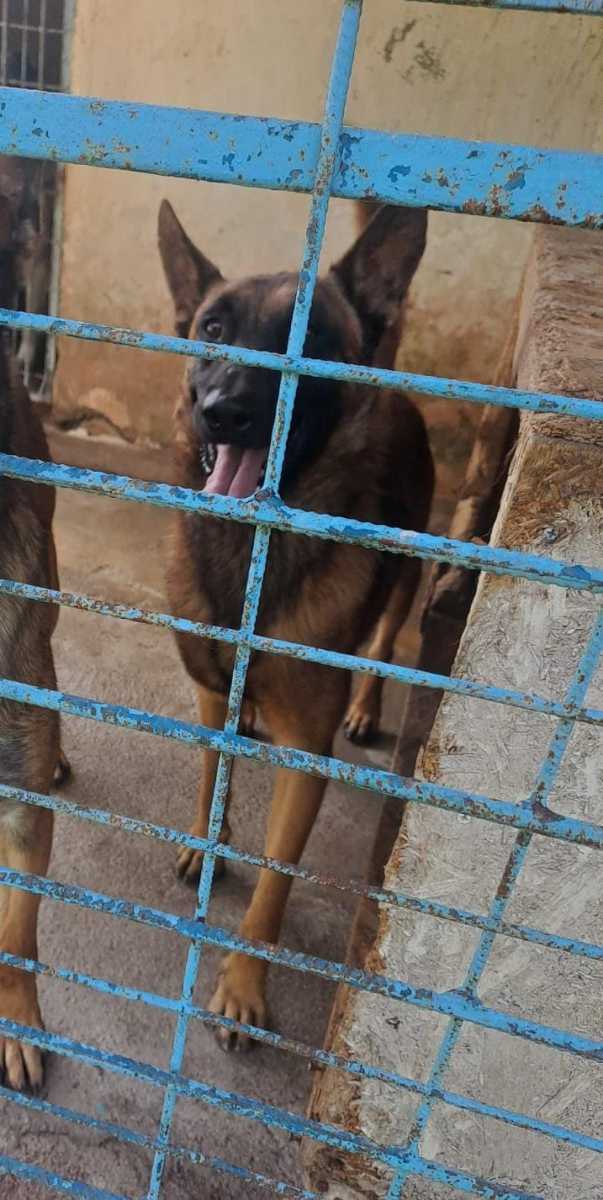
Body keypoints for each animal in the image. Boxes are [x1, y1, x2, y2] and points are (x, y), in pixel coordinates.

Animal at [158, 198, 434, 1047]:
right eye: (212, 328)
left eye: (309, 338)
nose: (225, 412)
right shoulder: (207, 692)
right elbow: (211, 771)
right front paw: (208, 842)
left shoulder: (306, 754)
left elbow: (273, 891)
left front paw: (244, 986)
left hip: (405, 576)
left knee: (384, 636)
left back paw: (366, 703)